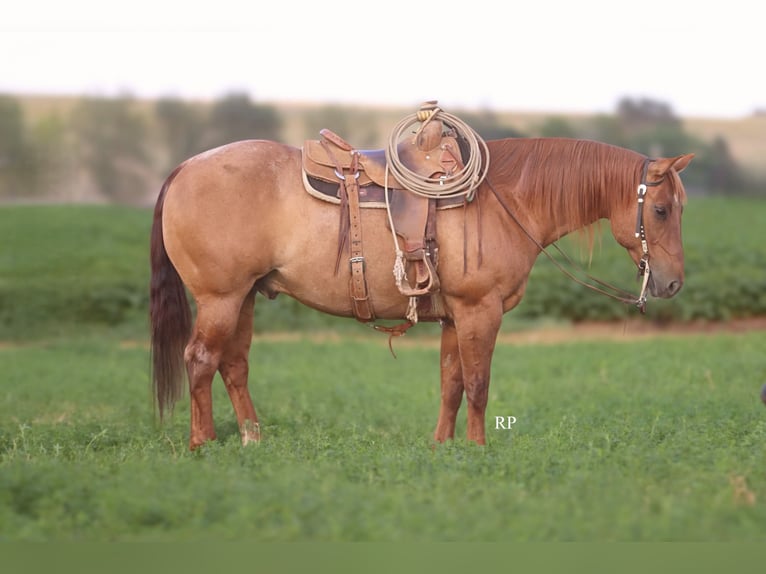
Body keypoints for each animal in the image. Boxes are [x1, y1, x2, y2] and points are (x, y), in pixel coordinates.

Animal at [149, 135, 693, 450]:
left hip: (242, 298)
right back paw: (202, 443)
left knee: (233, 365)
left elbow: (451, 382)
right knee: (200, 359)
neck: (504, 199)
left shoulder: (456, 317)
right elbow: (478, 383)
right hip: (220, 298)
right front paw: (478, 449)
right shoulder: (480, 311)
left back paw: (251, 439)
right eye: (661, 209)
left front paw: (443, 447)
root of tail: (182, 169)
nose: (672, 283)